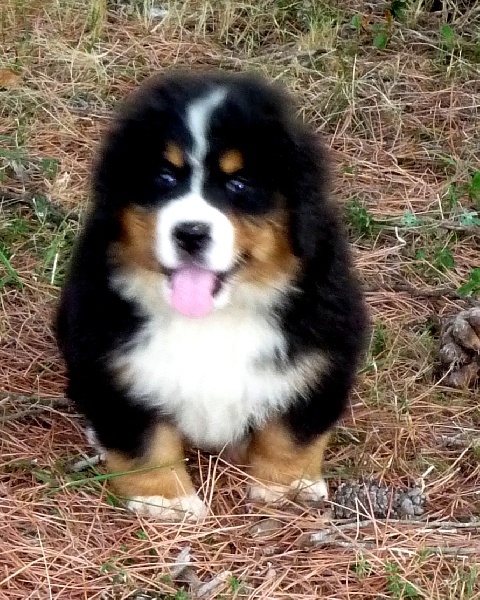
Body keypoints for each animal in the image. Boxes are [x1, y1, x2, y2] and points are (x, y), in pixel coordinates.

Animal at [56, 70, 369, 521]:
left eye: (239, 184)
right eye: (164, 178)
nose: (190, 233)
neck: (214, 318)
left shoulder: (319, 356)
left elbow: (290, 431)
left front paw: (285, 488)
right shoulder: (109, 360)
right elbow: (145, 438)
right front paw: (164, 500)